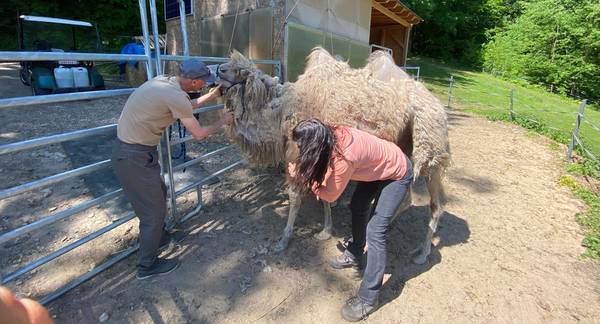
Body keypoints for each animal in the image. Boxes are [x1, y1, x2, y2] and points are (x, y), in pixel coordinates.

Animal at [217, 47, 450, 264]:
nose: (218, 69)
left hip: (430, 152)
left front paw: (284, 239)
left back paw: (420, 253)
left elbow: (296, 197)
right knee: (419, 201)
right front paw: (326, 231)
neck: (283, 112)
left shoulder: (304, 151)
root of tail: (439, 108)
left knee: (428, 203)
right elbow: (324, 198)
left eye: (240, 70)